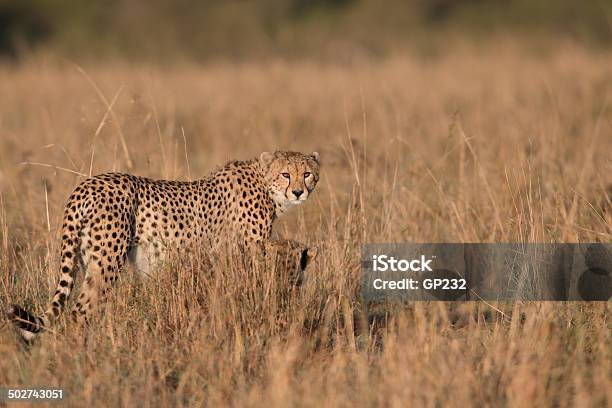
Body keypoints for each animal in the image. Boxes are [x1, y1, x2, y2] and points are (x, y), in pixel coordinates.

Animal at [7, 150, 320, 342]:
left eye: (307, 174)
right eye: (286, 174)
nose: (298, 192)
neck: (265, 184)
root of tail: (86, 185)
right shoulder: (250, 250)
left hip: (85, 259)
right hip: (105, 263)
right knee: (78, 312)